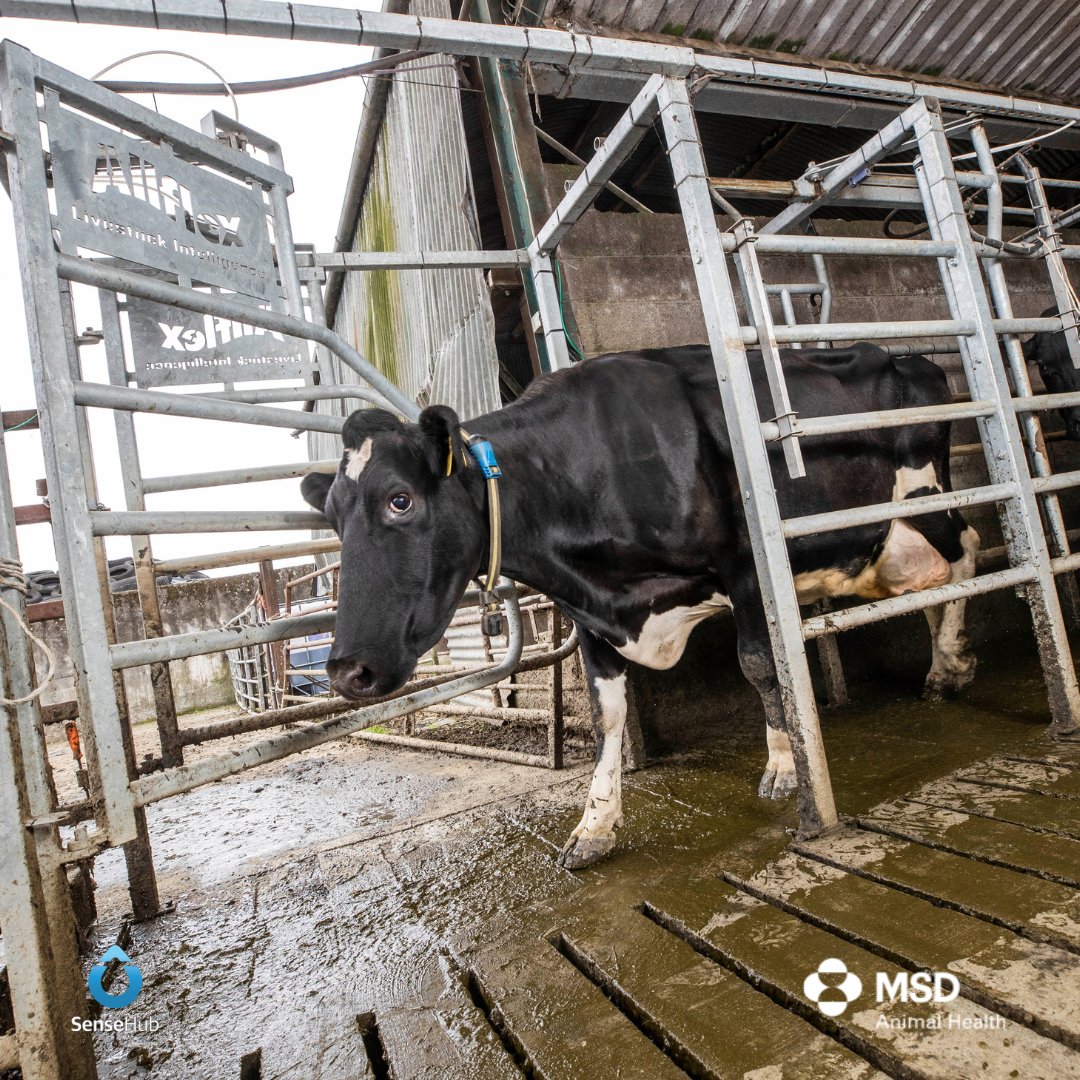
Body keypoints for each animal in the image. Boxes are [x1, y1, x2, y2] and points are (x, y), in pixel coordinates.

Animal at [301, 343, 979, 870]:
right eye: (331, 517)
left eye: (400, 500)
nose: (346, 672)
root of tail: (908, 356)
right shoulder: (589, 614)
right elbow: (607, 716)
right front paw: (593, 827)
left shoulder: (744, 564)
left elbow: (760, 665)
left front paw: (785, 767)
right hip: (885, 540)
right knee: (929, 582)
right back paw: (941, 666)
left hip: (925, 495)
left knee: (966, 550)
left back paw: (950, 663)